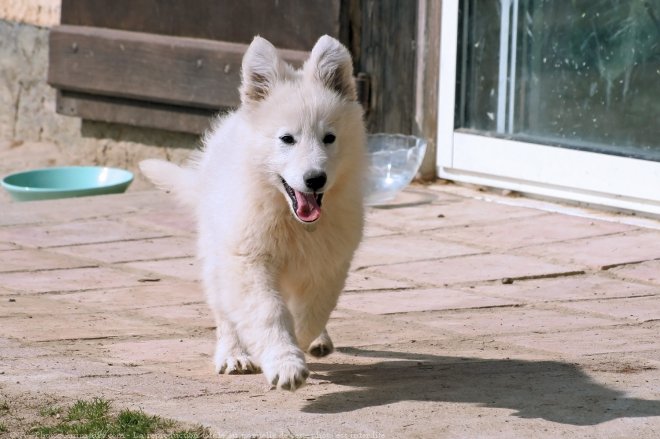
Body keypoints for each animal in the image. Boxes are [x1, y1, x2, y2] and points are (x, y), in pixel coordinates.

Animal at [141, 35, 366, 392]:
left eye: (329, 138)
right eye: (287, 139)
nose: (315, 179)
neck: (289, 216)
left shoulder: (329, 263)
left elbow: (312, 310)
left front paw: (300, 342)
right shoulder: (247, 259)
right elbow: (268, 312)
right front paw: (285, 362)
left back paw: (318, 340)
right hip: (215, 252)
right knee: (224, 310)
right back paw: (233, 354)